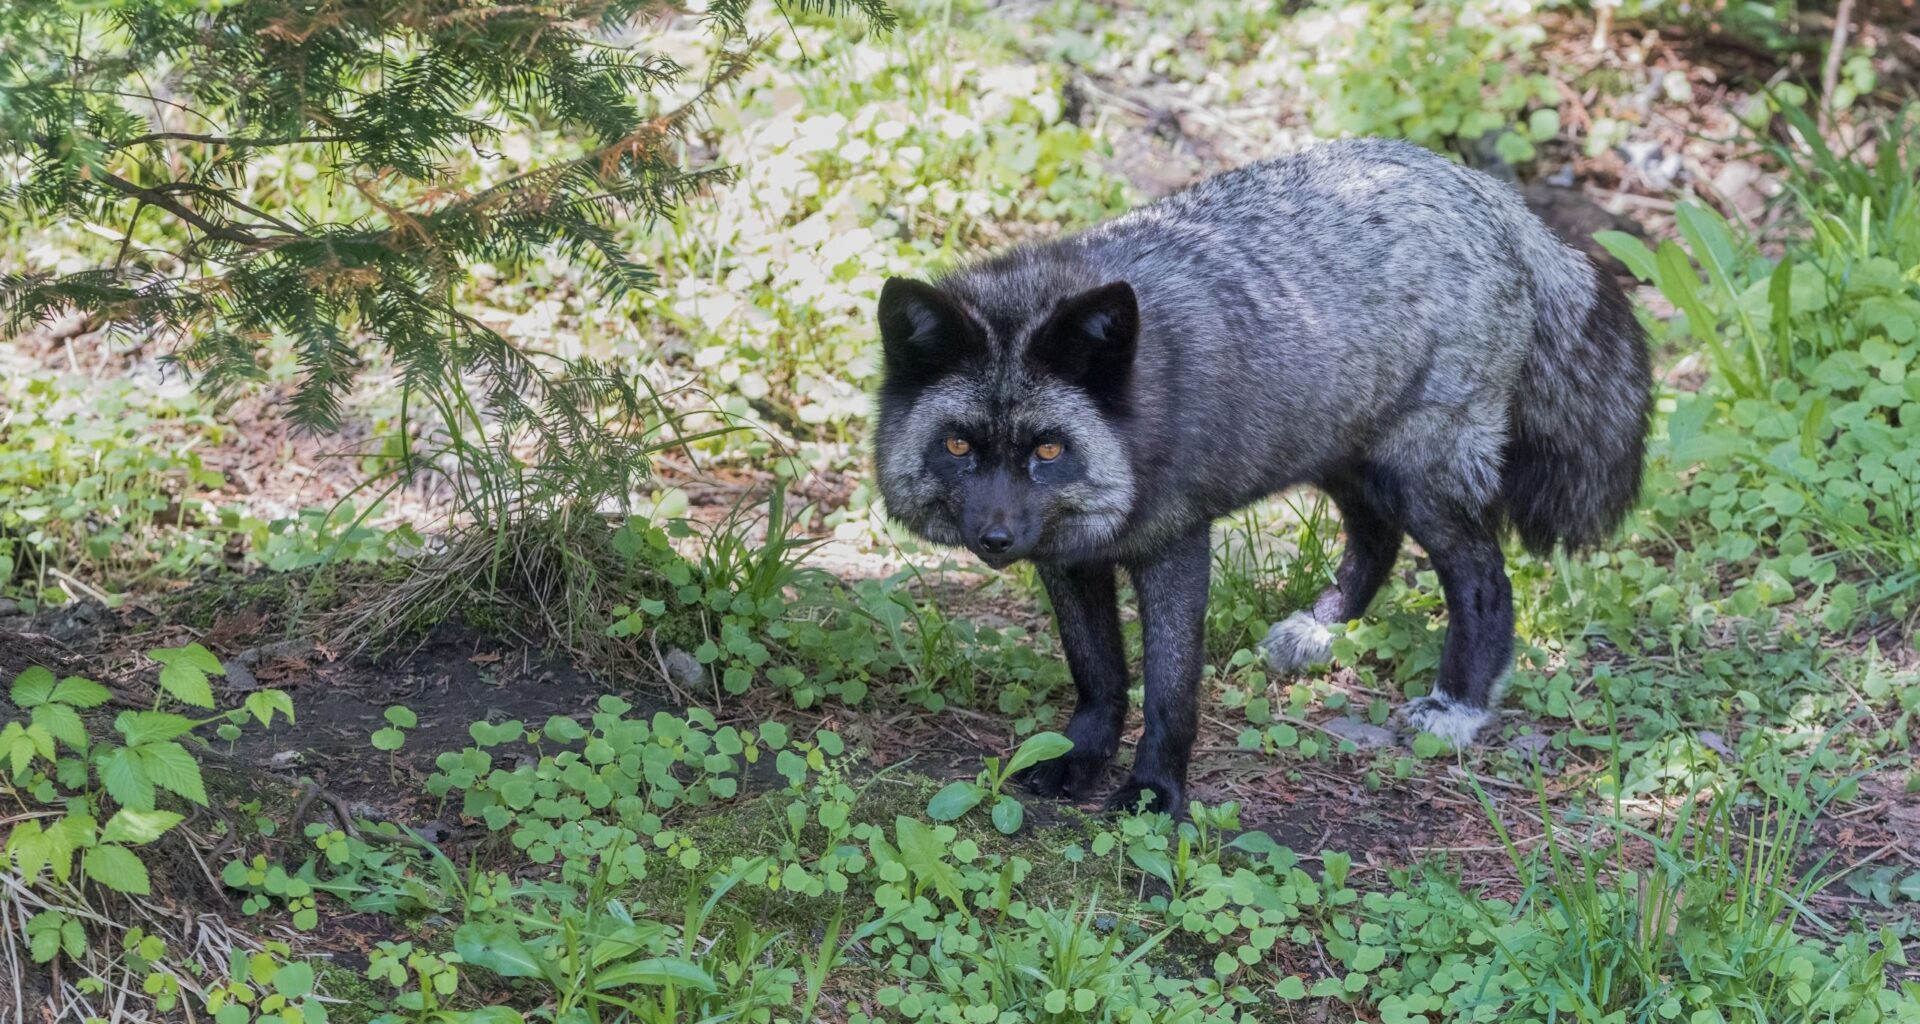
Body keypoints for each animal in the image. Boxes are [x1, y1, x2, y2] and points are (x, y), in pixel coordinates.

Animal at [872, 138, 1652, 816]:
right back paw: (1321, 629)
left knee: (1484, 580)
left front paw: (1156, 788)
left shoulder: (1177, 543)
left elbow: (1170, 688)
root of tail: (1491, 196)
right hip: (1340, 452)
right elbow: (1097, 672)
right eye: (959, 445)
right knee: (1377, 541)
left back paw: (1457, 703)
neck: (1139, 413)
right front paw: (1080, 757)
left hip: (1420, 474)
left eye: (1048, 450)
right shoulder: (1067, 558)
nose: (995, 538)